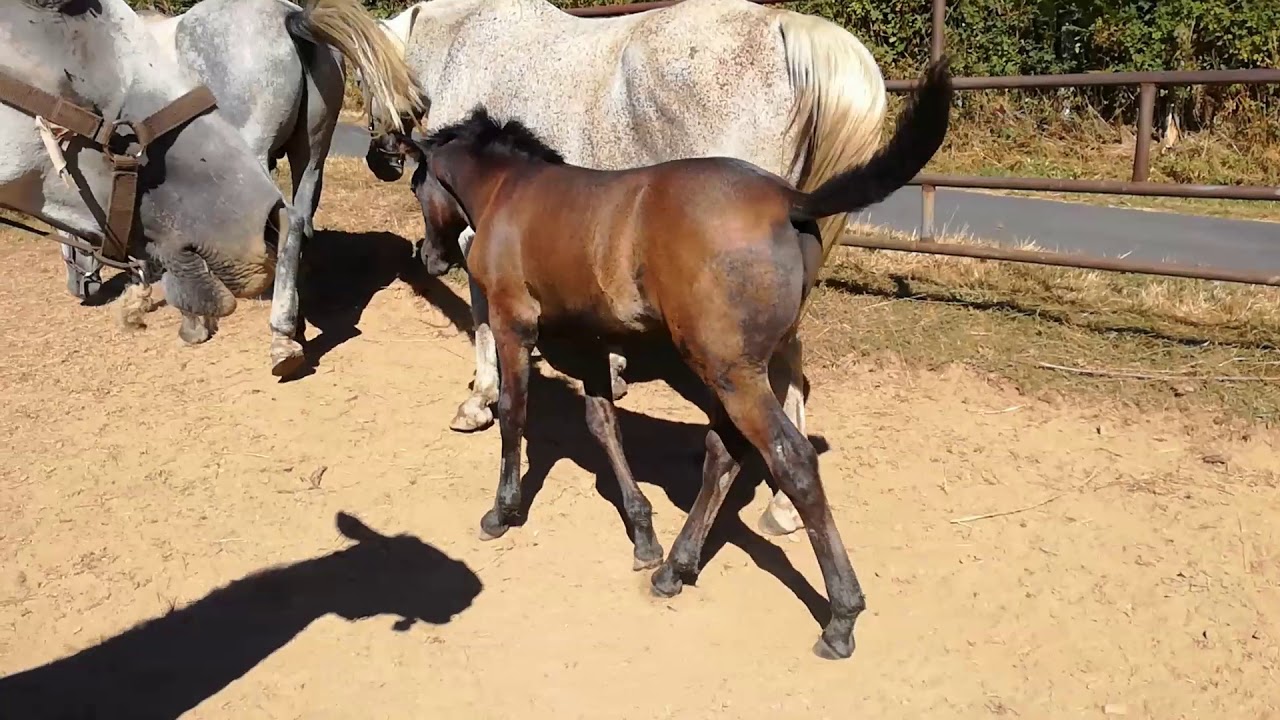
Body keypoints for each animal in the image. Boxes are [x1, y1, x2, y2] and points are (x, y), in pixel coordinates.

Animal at [57, 0, 425, 377]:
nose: (79, 288)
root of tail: (288, 17)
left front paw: (184, 318)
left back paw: (280, 339)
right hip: (311, 157)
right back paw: (293, 325)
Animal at [356, 0, 888, 538]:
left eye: (361, 77)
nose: (379, 159)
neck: (462, 40)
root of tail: (785, 27)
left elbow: (484, 317)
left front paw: (479, 400)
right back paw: (782, 507)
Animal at [394, 57, 954, 659]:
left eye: (417, 184)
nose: (429, 258)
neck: (510, 192)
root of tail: (789, 201)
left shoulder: (512, 323)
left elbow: (514, 415)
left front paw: (502, 511)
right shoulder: (590, 338)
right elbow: (603, 424)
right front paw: (643, 536)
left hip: (731, 373)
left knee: (791, 460)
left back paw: (841, 618)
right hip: (737, 369)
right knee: (726, 453)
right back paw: (674, 570)